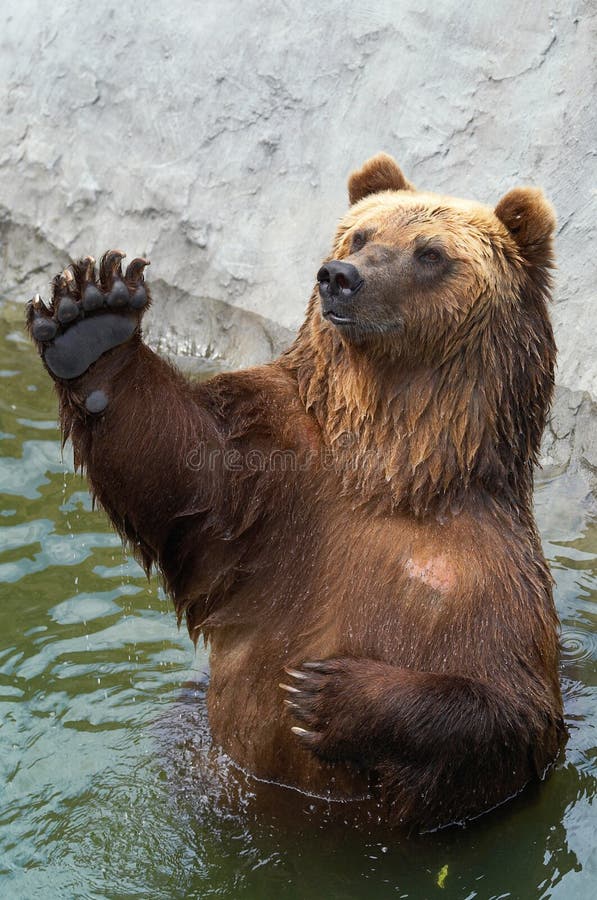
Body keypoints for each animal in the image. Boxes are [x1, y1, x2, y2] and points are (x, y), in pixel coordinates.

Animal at [25, 153, 560, 828]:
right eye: (360, 235)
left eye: (430, 253)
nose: (341, 277)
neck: (390, 469)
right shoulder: (278, 480)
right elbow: (184, 473)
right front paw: (91, 319)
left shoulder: (492, 580)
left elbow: (511, 713)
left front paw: (326, 694)